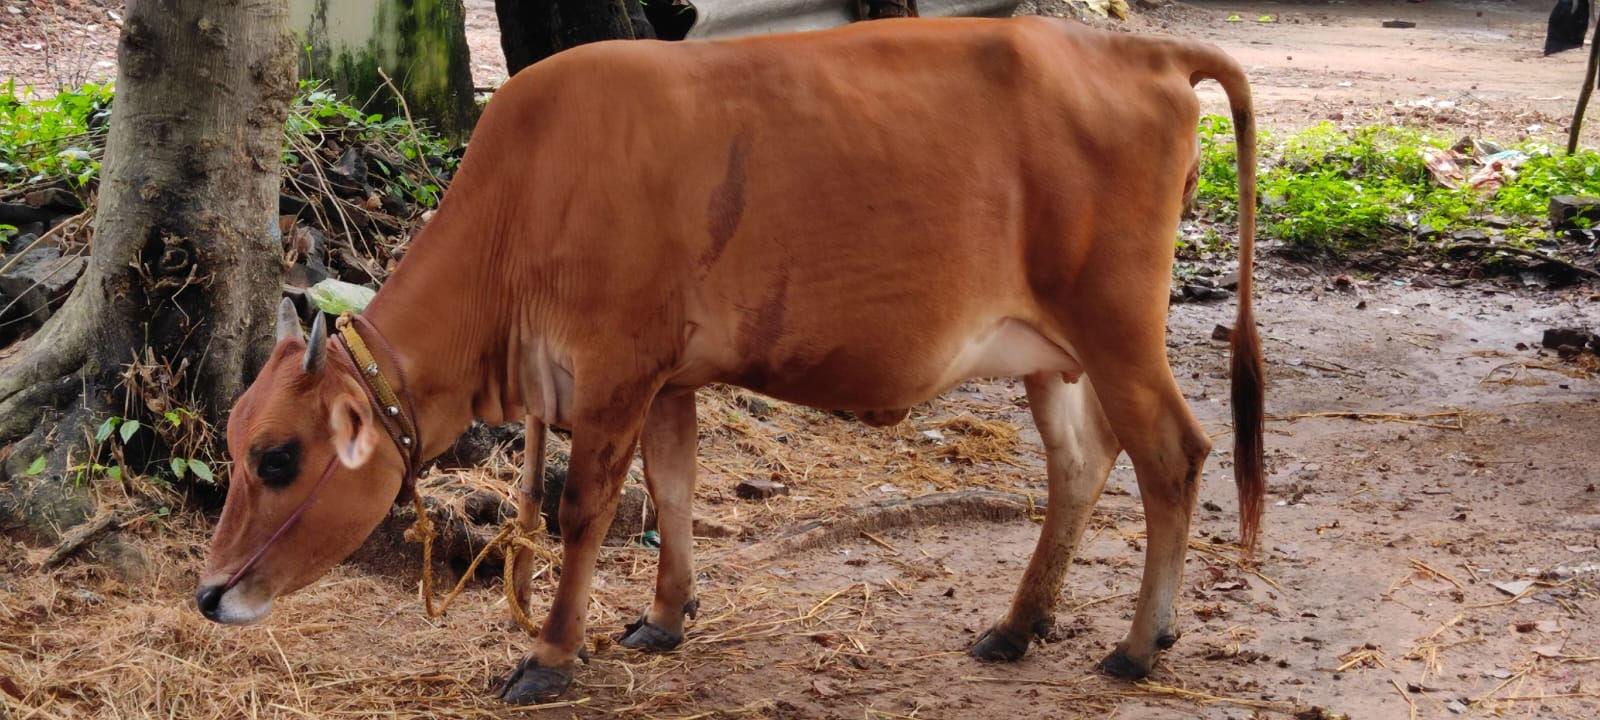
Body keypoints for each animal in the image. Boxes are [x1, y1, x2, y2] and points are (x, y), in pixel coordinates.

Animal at [196, 15, 1263, 705]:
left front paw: (552, 654)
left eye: (277, 458)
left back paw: (1138, 644)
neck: (526, 204)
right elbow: (672, 489)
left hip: (1118, 329)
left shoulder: (616, 370)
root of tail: (1140, 48)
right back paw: (1017, 625)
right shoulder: (667, 379)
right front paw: (666, 615)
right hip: (1053, 353)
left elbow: (587, 512)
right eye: (238, 445)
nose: (210, 594)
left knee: (1174, 456)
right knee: (1081, 463)